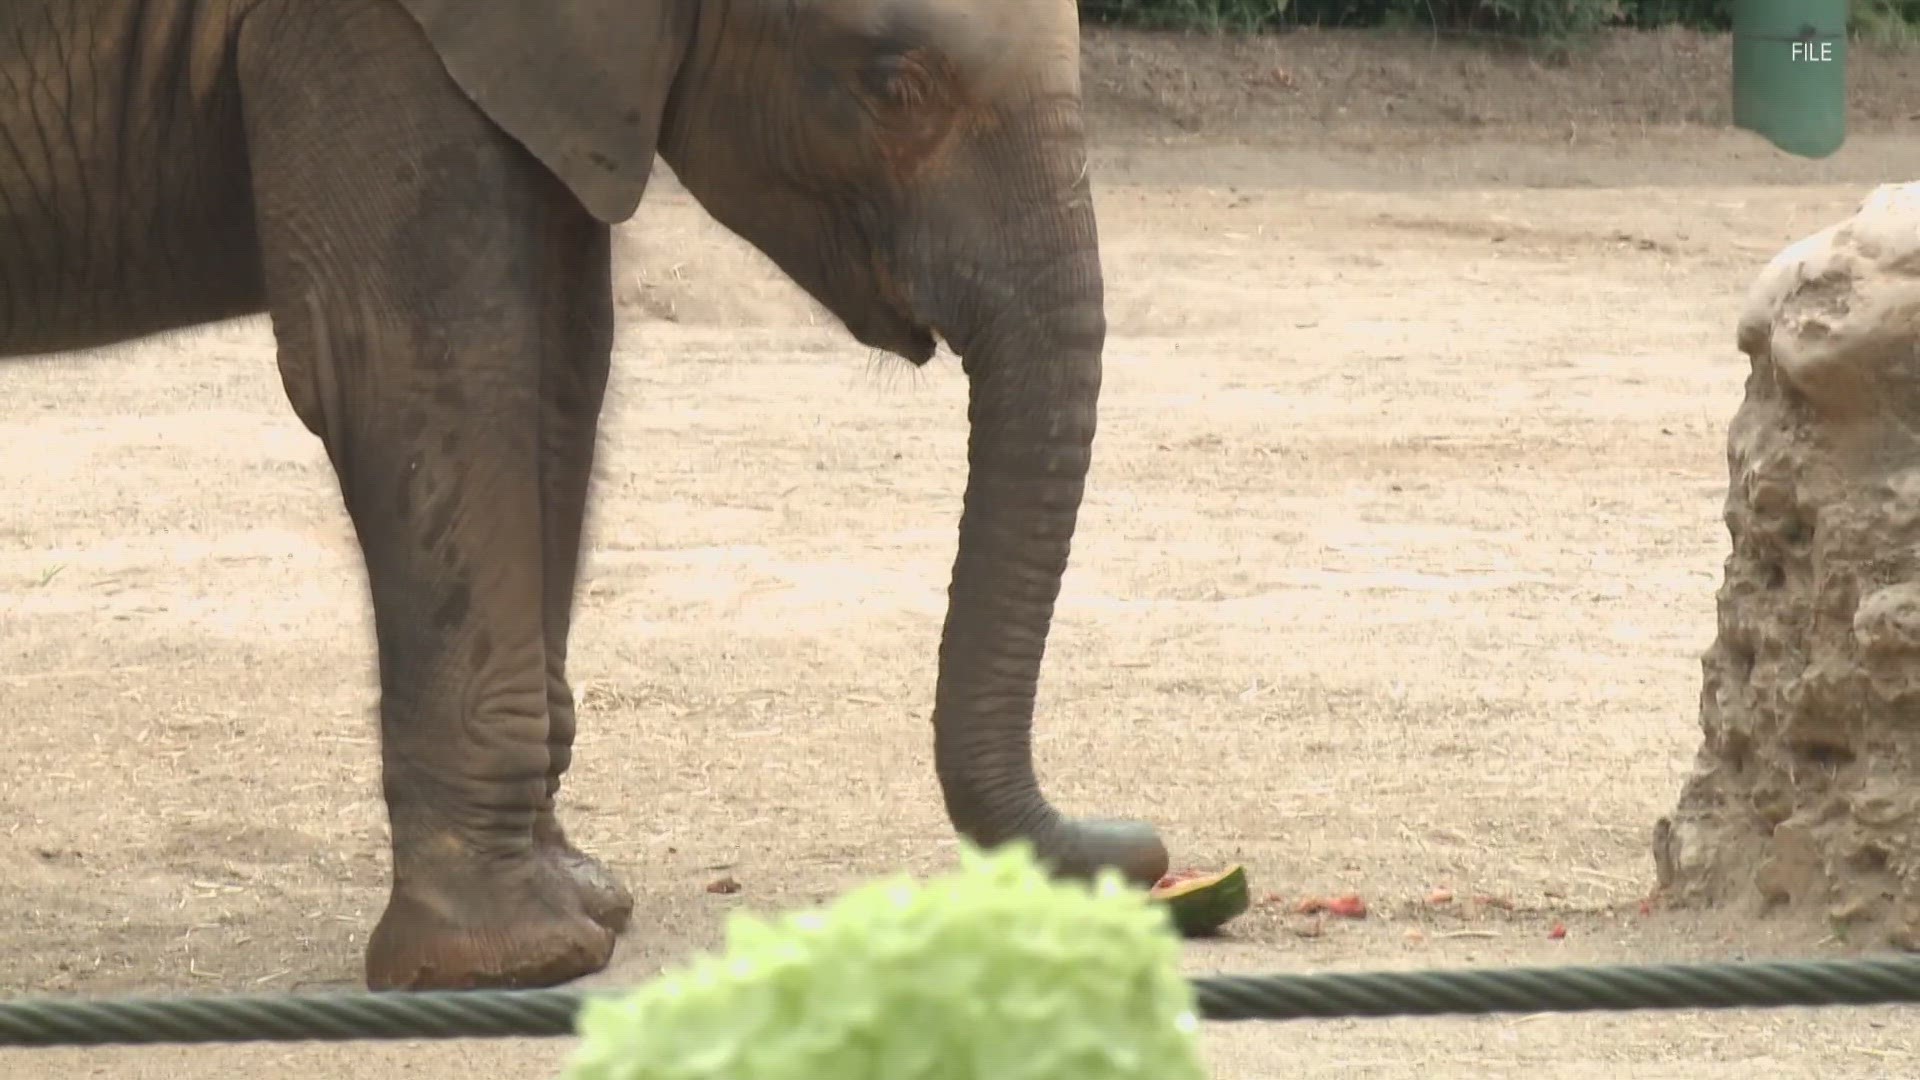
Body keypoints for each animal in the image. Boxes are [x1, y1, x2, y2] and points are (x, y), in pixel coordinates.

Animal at [3, 0, 1167, 991]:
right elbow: (416, 367)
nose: (1145, 854)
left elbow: (564, 358)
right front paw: (516, 961)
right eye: (891, 84)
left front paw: (587, 900)